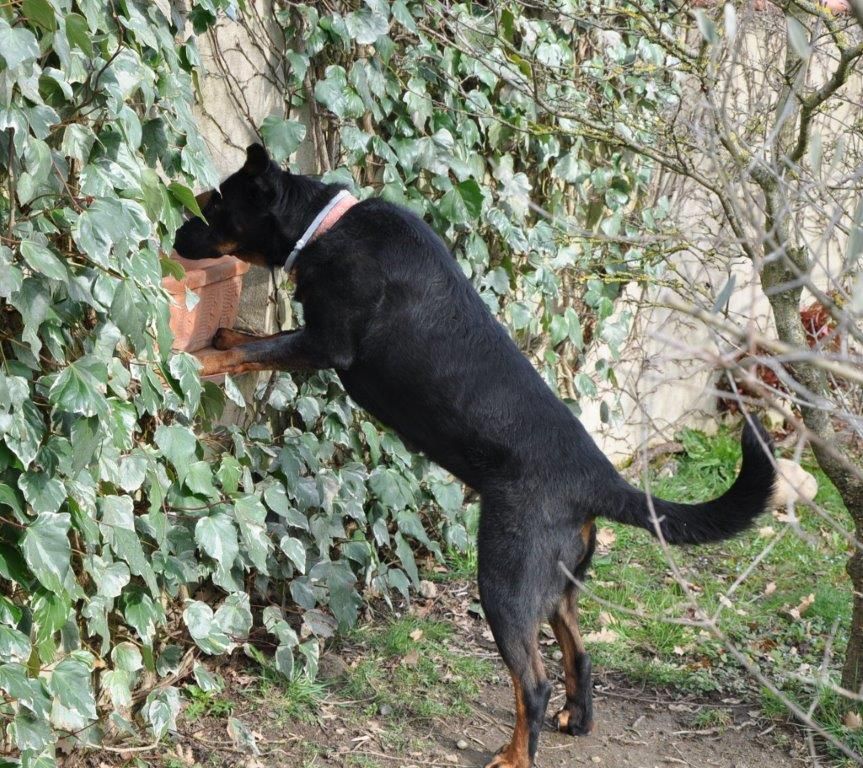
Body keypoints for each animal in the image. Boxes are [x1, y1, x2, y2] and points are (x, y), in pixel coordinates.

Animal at [176, 146, 776, 768]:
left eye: (214, 206)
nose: (174, 232)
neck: (327, 226)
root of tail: (601, 480)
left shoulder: (326, 343)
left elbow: (260, 348)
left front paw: (204, 359)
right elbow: (253, 339)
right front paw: (225, 335)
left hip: (505, 580)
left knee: (532, 683)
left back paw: (515, 755)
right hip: (554, 584)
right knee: (579, 652)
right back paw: (576, 718)